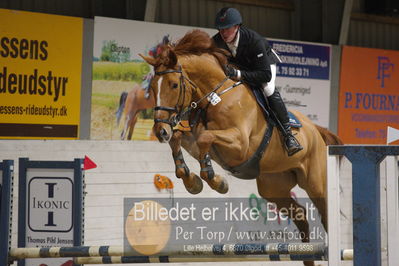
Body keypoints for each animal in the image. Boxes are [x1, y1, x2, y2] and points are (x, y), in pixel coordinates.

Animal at [141, 30, 340, 264]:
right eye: (152, 87)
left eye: (173, 84)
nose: (160, 131)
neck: (215, 96)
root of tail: (315, 129)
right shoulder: (191, 134)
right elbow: (181, 140)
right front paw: (192, 181)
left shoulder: (240, 145)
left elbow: (205, 138)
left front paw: (216, 181)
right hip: (273, 187)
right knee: (300, 215)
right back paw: (307, 256)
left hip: (315, 184)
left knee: (325, 213)